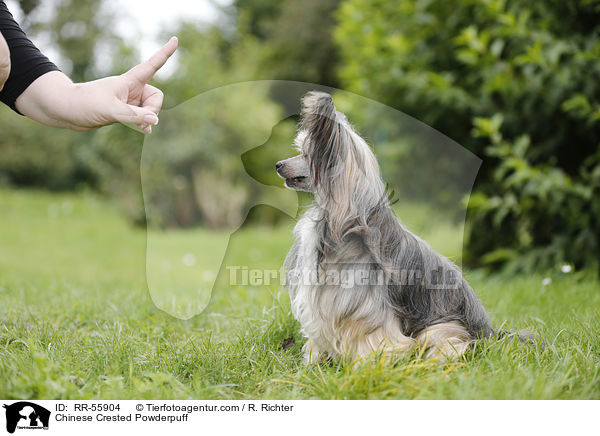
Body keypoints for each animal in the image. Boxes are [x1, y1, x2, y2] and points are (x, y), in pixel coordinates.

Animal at [276, 90, 492, 362]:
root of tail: (492, 333)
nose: (277, 164)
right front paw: (312, 363)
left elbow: (374, 339)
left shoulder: (363, 306)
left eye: (305, 153)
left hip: (440, 328)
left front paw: (369, 364)